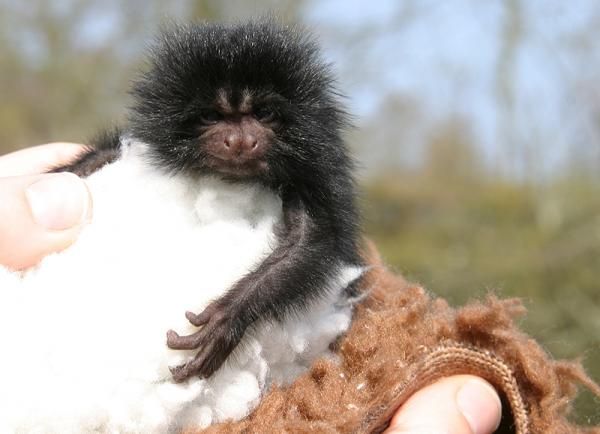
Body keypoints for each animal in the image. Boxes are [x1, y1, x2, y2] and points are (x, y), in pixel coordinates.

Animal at [54, 20, 360, 382]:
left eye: (264, 113)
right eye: (211, 117)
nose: (240, 141)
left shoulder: (319, 167)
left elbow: (308, 241)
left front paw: (228, 317)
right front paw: (81, 166)